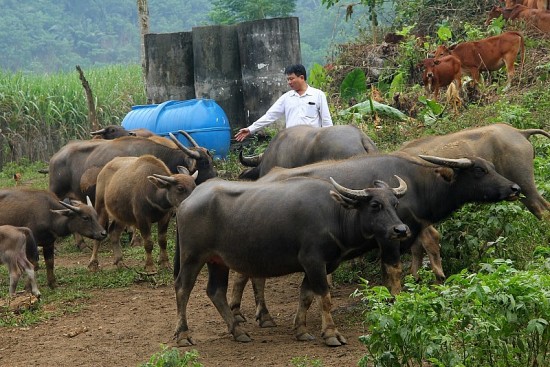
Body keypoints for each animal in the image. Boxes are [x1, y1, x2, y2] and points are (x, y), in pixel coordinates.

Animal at [175, 175, 412, 348]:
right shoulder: (314, 261)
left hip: (217, 261)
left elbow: (306, 297)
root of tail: (186, 202)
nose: (401, 230)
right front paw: (331, 334)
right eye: (375, 205)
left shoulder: (319, 265)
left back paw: (238, 331)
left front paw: (301, 330)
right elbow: (325, 298)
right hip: (192, 257)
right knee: (182, 289)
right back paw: (183, 335)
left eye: (395, 203)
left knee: (215, 291)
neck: (334, 215)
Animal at [231, 152, 524, 328]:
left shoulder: (407, 232)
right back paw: (256, 315)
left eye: (492, 167)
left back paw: (253, 314)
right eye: (479, 171)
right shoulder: (390, 238)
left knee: (250, 275)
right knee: (250, 276)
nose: (515, 188)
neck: (417, 184)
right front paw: (398, 301)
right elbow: (394, 271)